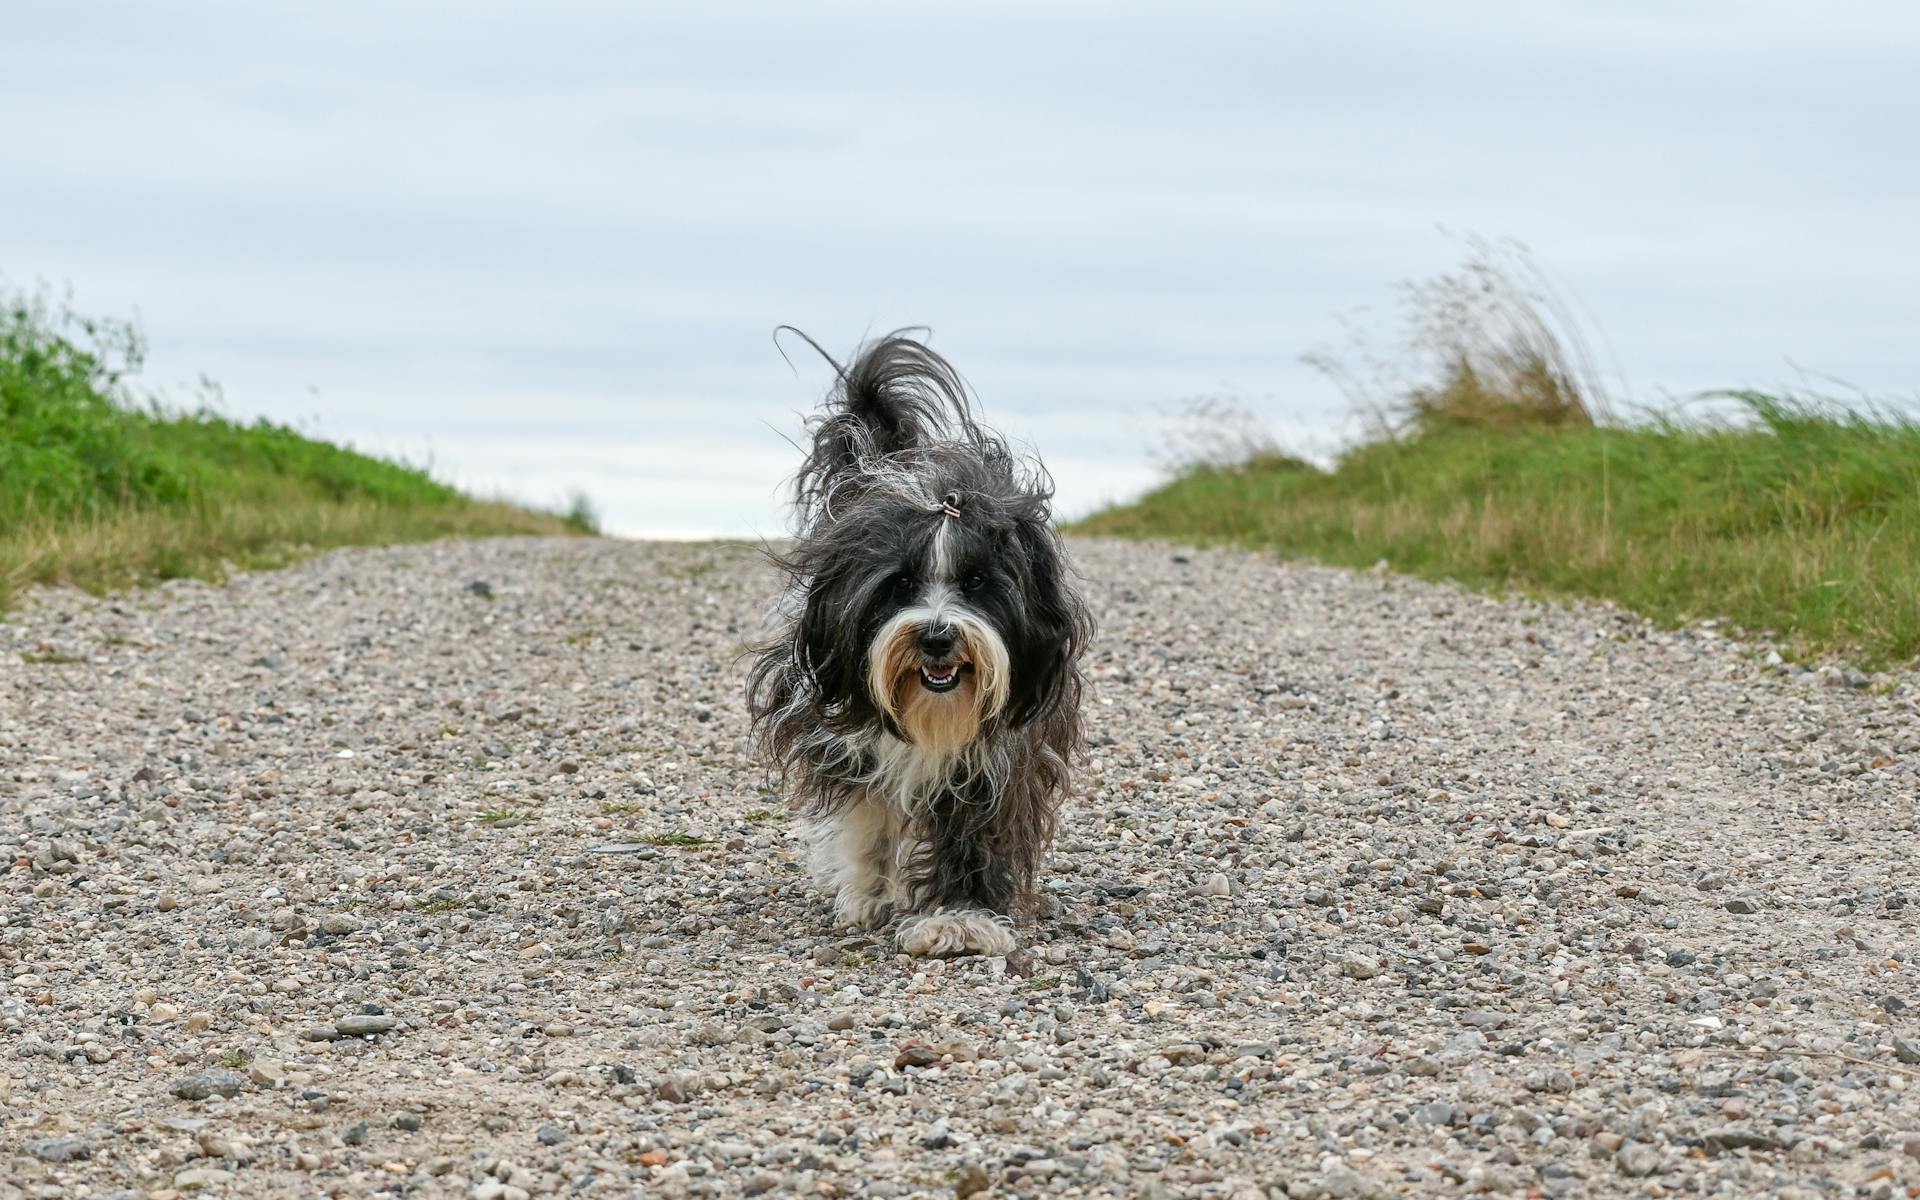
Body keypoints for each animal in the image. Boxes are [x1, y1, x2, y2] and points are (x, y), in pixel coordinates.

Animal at [744, 332, 1090, 960]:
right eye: (900, 583)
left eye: (977, 582)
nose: (936, 637)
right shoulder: (846, 735)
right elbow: (869, 815)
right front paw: (871, 897)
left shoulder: (1001, 755)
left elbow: (974, 831)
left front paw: (960, 919)